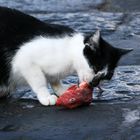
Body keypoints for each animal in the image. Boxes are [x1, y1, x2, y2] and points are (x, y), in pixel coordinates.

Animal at [0, 6, 132, 105]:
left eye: (106, 77)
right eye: (95, 68)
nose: (94, 84)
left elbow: (54, 80)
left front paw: (62, 90)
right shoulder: (24, 58)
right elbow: (39, 80)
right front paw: (45, 96)